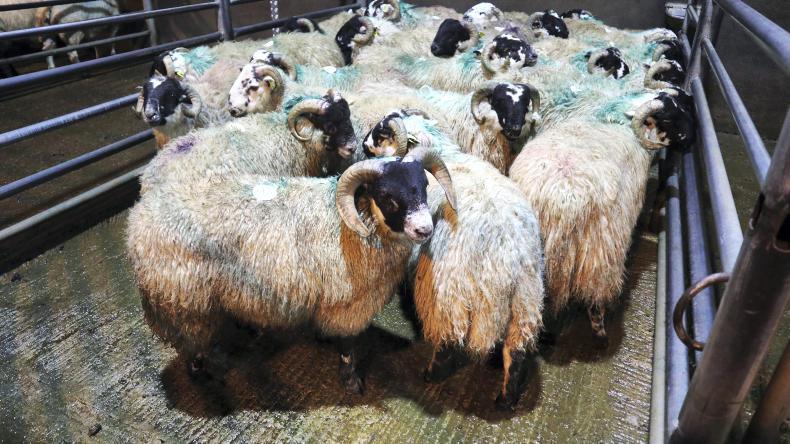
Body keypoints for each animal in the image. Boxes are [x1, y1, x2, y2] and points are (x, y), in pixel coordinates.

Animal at [127, 146, 456, 393]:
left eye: (424, 187)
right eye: (388, 197)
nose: (424, 229)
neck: (353, 222)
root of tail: (138, 221)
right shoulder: (346, 305)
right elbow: (348, 348)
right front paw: (351, 382)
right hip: (186, 303)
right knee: (191, 347)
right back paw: (203, 374)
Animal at [363, 111, 545, 410]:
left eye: (381, 134)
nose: (363, 145)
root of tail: (504, 253)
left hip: (448, 294)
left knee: (448, 338)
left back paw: (432, 374)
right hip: (526, 300)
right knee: (515, 352)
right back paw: (506, 399)